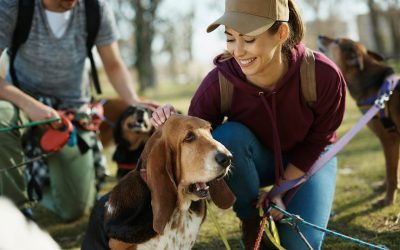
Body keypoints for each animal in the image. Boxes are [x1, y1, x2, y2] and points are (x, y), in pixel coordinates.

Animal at [318, 35, 400, 206]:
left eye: (337, 41)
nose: (320, 35)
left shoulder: (389, 139)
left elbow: (391, 171)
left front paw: (388, 199)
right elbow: (391, 169)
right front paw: (384, 187)